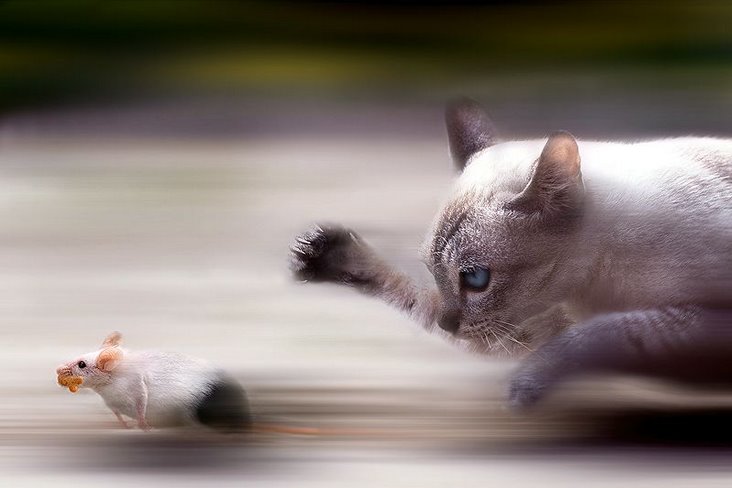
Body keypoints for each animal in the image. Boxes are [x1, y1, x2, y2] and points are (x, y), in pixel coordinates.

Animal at [290, 99, 732, 408]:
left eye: (475, 278)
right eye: (435, 272)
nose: (450, 323)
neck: (594, 289)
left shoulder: (696, 327)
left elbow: (610, 333)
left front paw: (525, 388)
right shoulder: (522, 328)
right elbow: (419, 301)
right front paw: (322, 253)